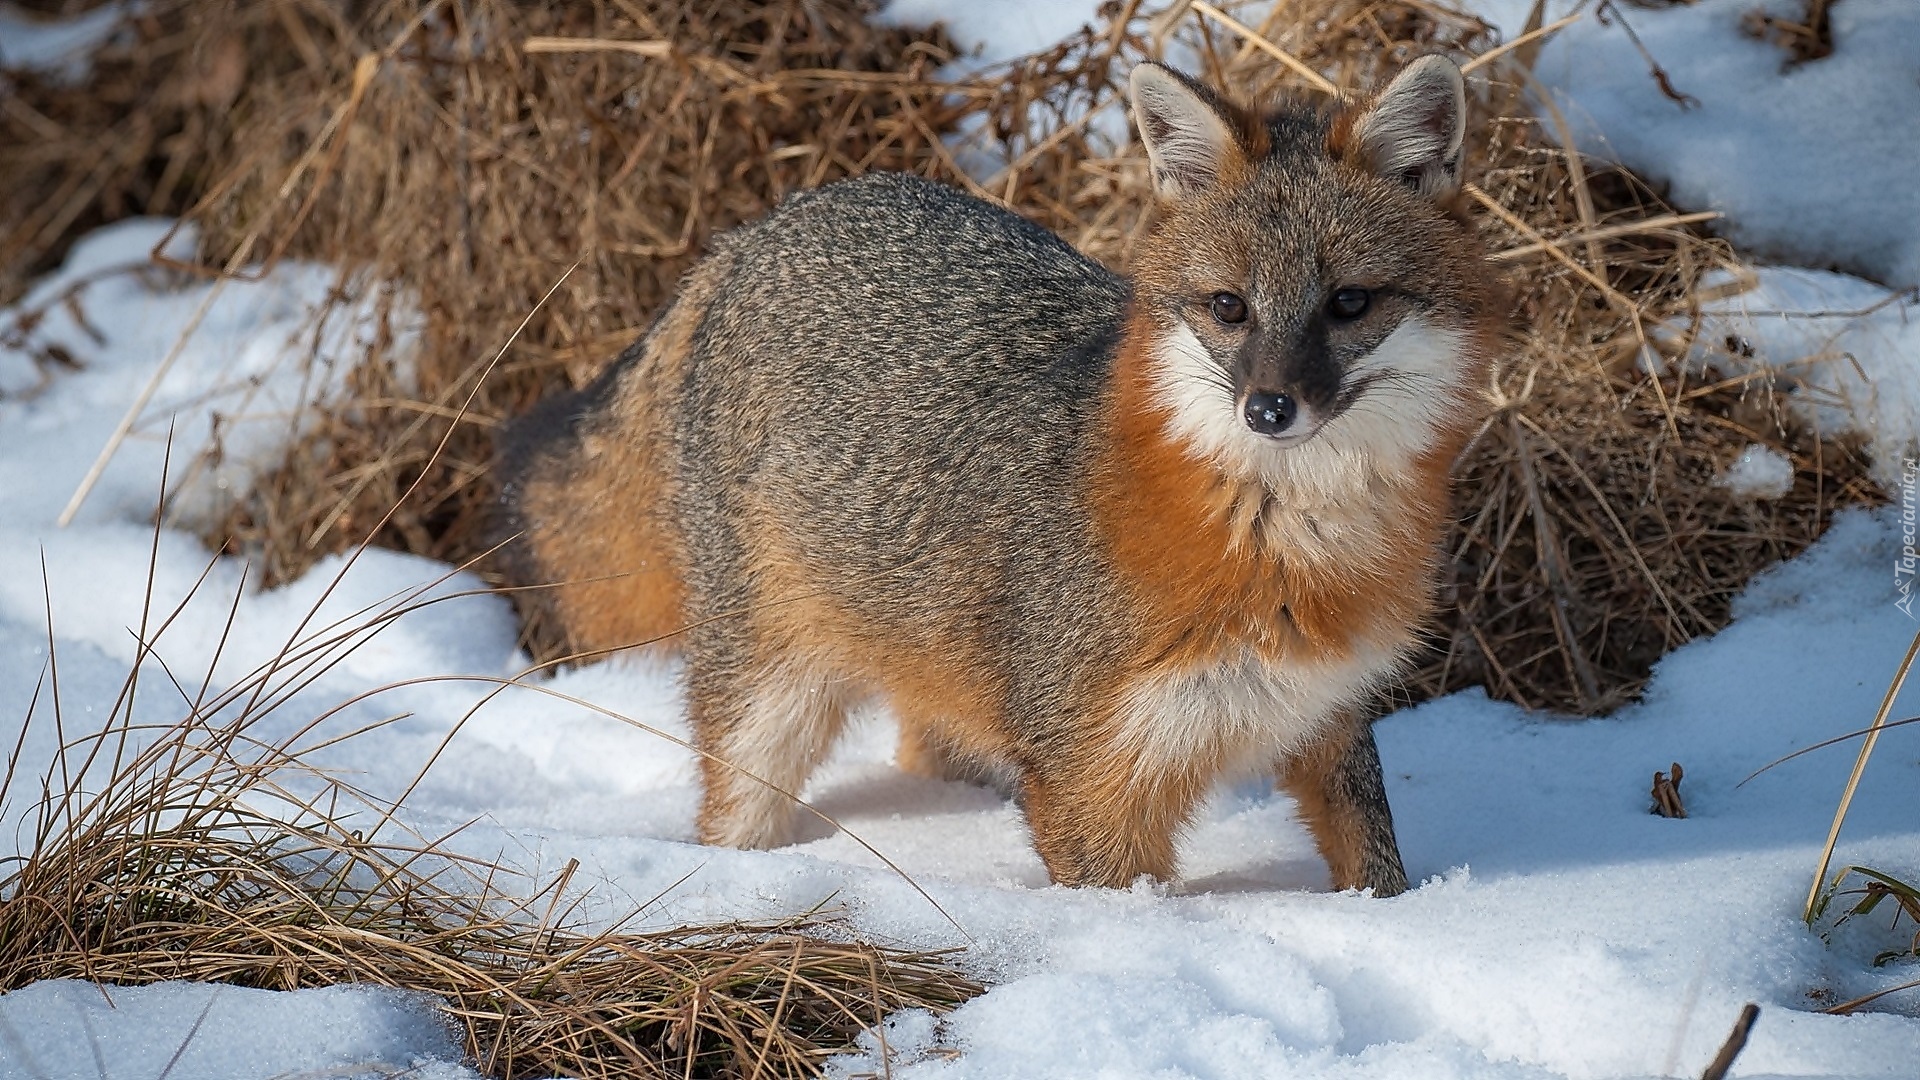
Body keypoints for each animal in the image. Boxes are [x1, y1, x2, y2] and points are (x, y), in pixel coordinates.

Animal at [499, 52, 1512, 891]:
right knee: (731, 813)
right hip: (768, 701)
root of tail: (757, 230)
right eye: (1229, 308)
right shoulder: (1090, 779)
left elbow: (1378, 869)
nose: (1268, 409)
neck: (1285, 546)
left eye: (1349, 304)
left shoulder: (1331, 720)